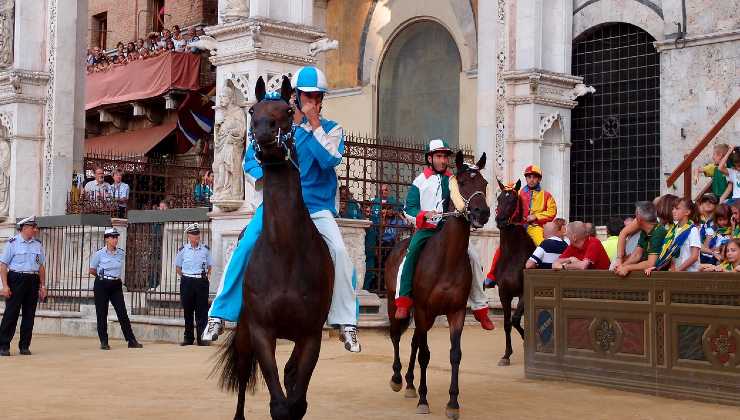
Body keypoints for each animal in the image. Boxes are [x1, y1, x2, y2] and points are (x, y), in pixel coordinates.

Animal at [215, 76, 334, 420]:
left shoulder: (311, 334)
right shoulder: (260, 331)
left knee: (291, 373)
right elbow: (280, 404)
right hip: (244, 334)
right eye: (252, 110)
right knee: (243, 371)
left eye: (288, 110)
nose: (264, 132)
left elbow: (296, 401)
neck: (285, 253)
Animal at [384, 152, 488, 420]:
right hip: (395, 303)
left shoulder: (456, 312)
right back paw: (398, 378)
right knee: (396, 335)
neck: (446, 260)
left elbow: (455, 355)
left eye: (484, 183)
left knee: (413, 341)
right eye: (462, 182)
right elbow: (425, 355)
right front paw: (424, 399)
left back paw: (410, 383)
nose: (482, 212)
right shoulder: (422, 310)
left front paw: (453, 403)